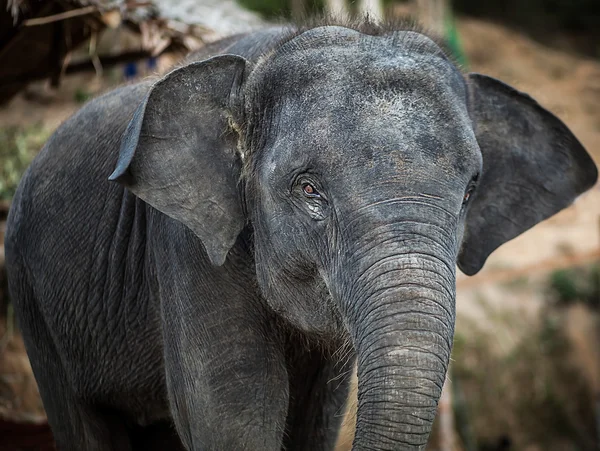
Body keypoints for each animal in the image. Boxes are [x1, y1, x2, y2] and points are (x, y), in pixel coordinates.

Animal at [4, 19, 600, 450]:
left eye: (471, 191)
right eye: (309, 189)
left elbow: (317, 418)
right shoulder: (187, 244)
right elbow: (235, 410)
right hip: (28, 290)